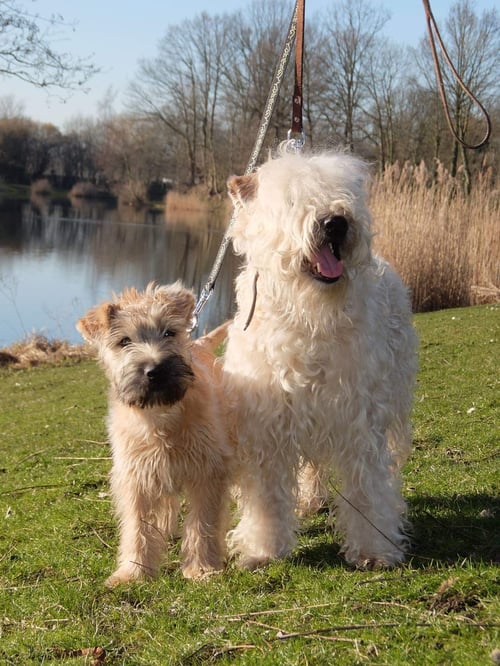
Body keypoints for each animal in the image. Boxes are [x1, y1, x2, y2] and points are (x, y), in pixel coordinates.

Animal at [77, 282, 233, 584]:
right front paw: (133, 572)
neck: (161, 417)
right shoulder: (137, 477)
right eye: (124, 341)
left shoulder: (206, 471)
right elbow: (136, 528)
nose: (155, 370)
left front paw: (201, 567)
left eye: (168, 332)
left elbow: (202, 522)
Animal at [224, 148, 418, 568]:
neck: (308, 316)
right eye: (291, 200)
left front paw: (373, 548)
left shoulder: (359, 418)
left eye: (343, 191)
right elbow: (266, 494)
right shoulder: (267, 423)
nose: (336, 222)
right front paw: (264, 548)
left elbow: (367, 487)